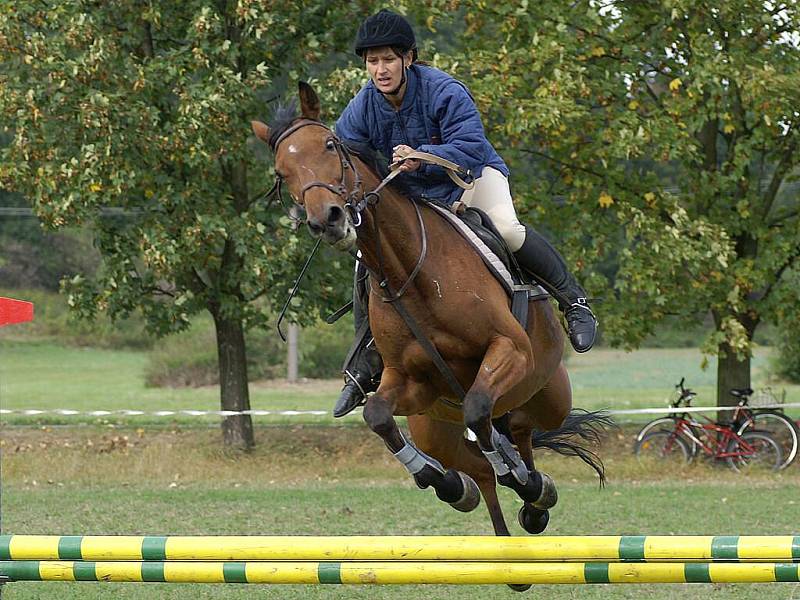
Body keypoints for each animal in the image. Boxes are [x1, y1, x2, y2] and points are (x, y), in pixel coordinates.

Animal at [253, 82, 604, 552]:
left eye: (330, 145)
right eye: (281, 172)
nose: (328, 219)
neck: (411, 273)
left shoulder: (508, 349)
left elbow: (477, 406)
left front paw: (522, 480)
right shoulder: (409, 381)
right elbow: (378, 416)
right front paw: (443, 483)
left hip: (548, 395)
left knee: (520, 430)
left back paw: (534, 487)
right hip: (435, 430)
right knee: (486, 469)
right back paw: (498, 508)